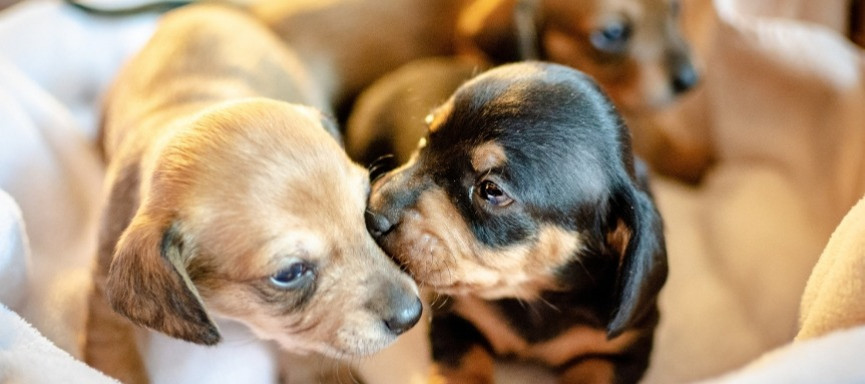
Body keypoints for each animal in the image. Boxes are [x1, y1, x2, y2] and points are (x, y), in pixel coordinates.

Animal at [364, 61, 668, 382]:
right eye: (425, 139)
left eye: (491, 190)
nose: (371, 214)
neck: (533, 295)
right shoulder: (456, 318)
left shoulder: (623, 352)